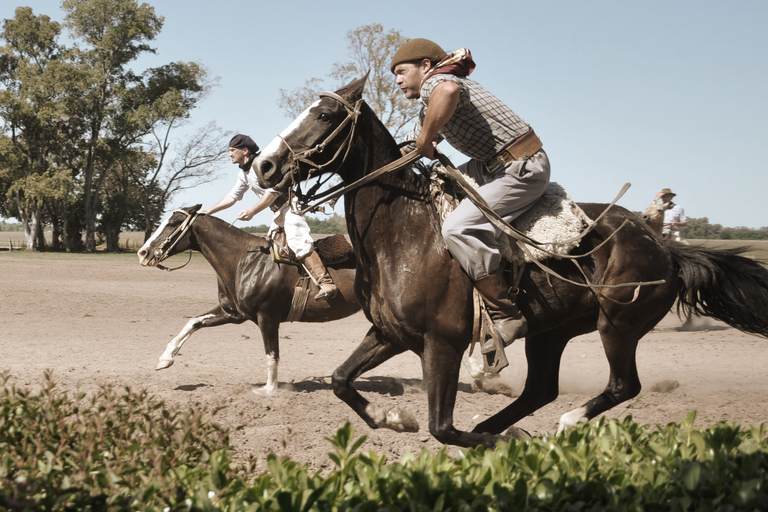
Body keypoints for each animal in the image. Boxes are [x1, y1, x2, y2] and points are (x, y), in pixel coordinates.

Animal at [137, 206, 360, 394]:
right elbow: (194, 322)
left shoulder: (267, 317)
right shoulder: (233, 313)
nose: (143, 252)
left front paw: (269, 390)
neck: (245, 261)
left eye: (173, 223)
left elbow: (272, 355)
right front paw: (165, 358)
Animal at [254, 76, 768, 448]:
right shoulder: (388, 333)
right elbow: (341, 380)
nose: (264, 166)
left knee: (623, 386)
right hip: (552, 332)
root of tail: (665, 248)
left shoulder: (441, 343)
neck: (403, 233)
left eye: (323, 114)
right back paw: (508, 425)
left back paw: (563, 424)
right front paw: (393, 417)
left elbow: (442, 428)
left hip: (618, 326)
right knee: (541, 389)